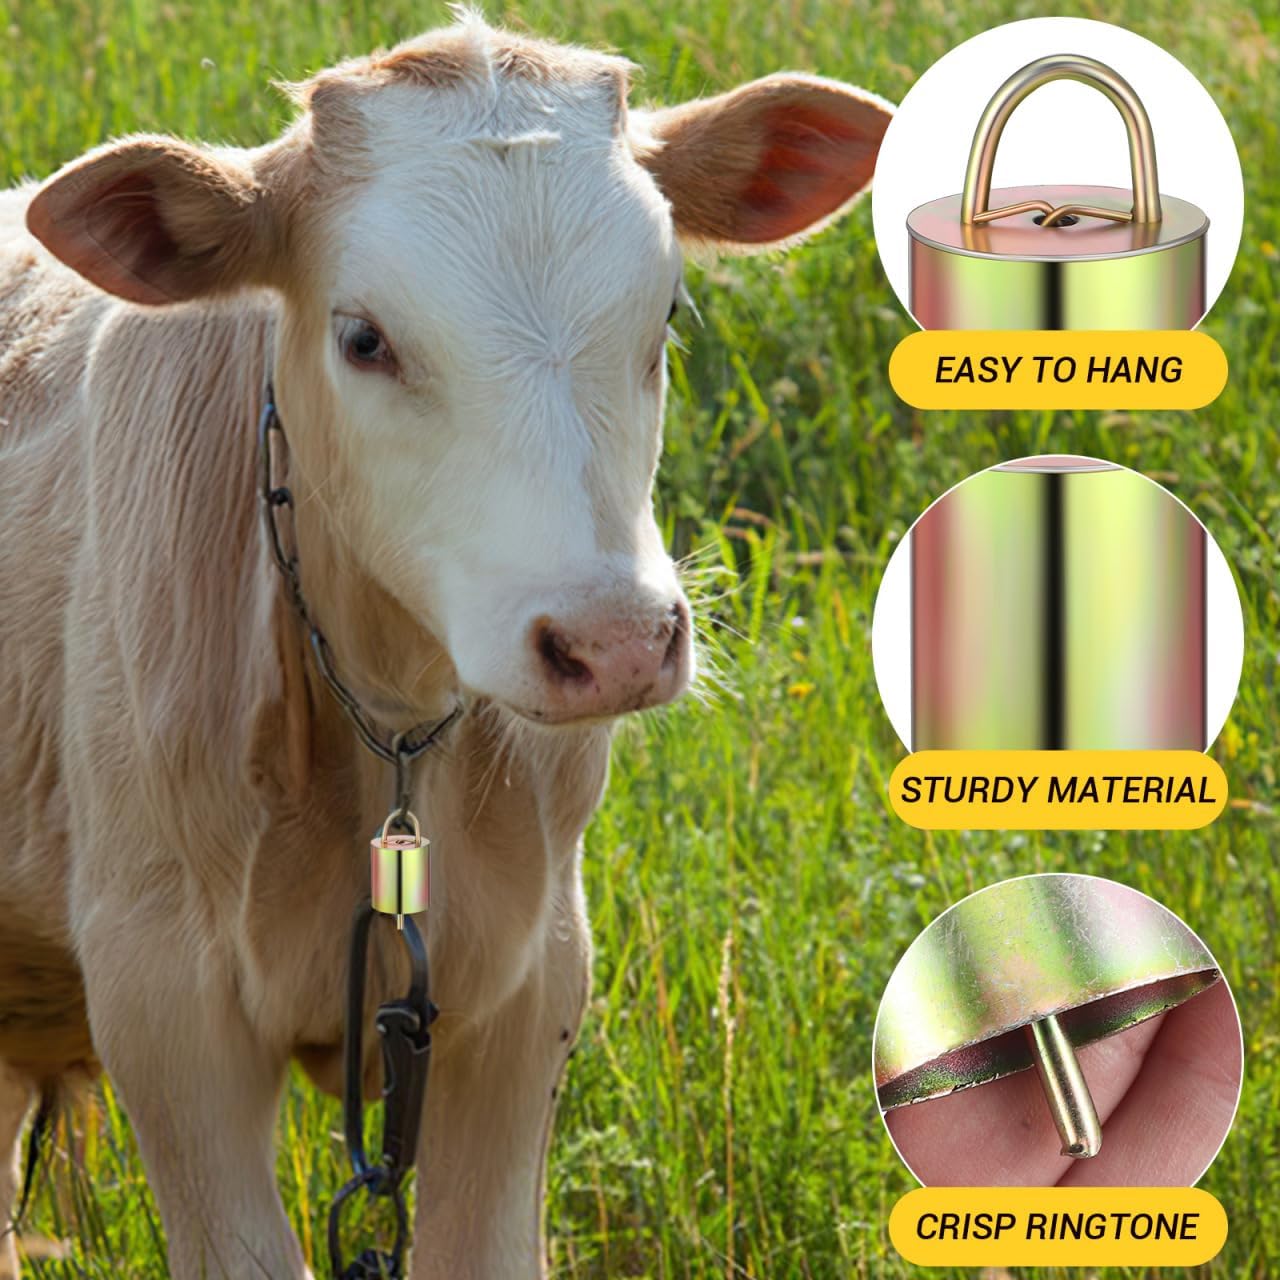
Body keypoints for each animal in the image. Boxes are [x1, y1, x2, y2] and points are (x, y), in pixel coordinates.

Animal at [0, 12, 890, 1277]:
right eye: (364, 337)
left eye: (666, 312)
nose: (615, 640)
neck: (383, 736)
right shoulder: (165, 999)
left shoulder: (528, 985)